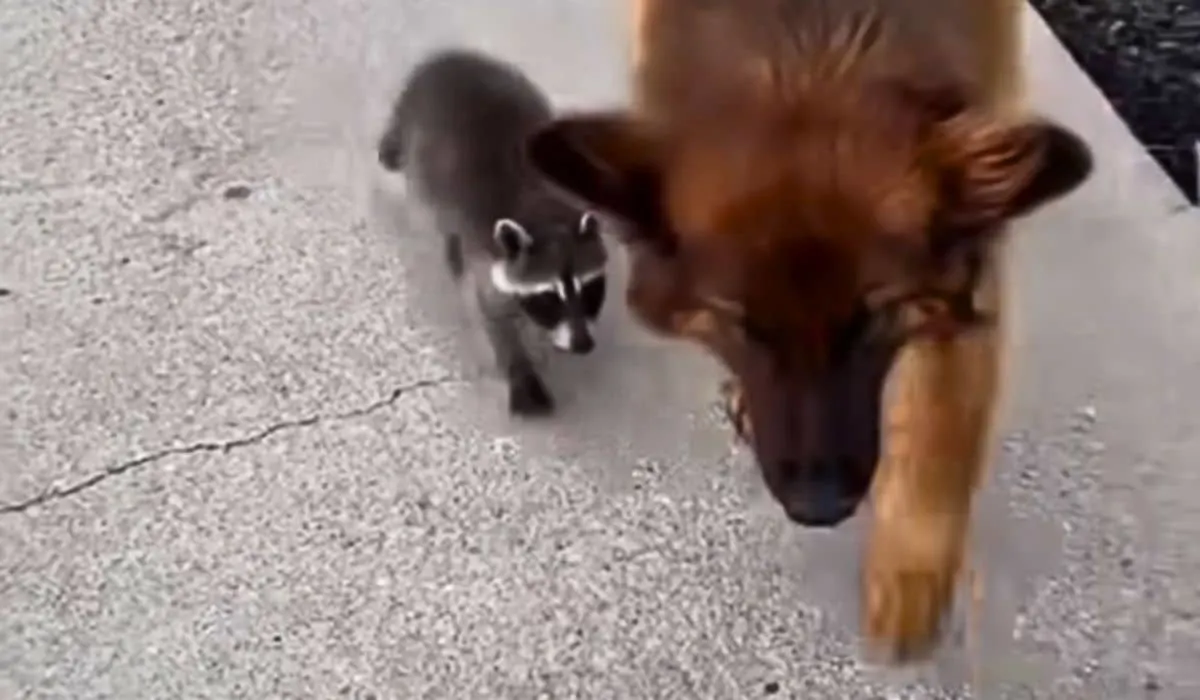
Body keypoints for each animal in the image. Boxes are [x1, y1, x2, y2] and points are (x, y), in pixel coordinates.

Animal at [379, 49, 609, 420]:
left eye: (590, 289)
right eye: (549, 297)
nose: (583, 344)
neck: (546, 218)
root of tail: (449, 57)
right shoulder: (481, 253)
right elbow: (490, 315)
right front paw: (520, 369)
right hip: (412, 123)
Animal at [523, 0, 1089, 662]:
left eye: (876, 318)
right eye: (740, 323)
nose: (818, 508)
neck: (810, 54)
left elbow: (942, 425)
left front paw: (911, 577)